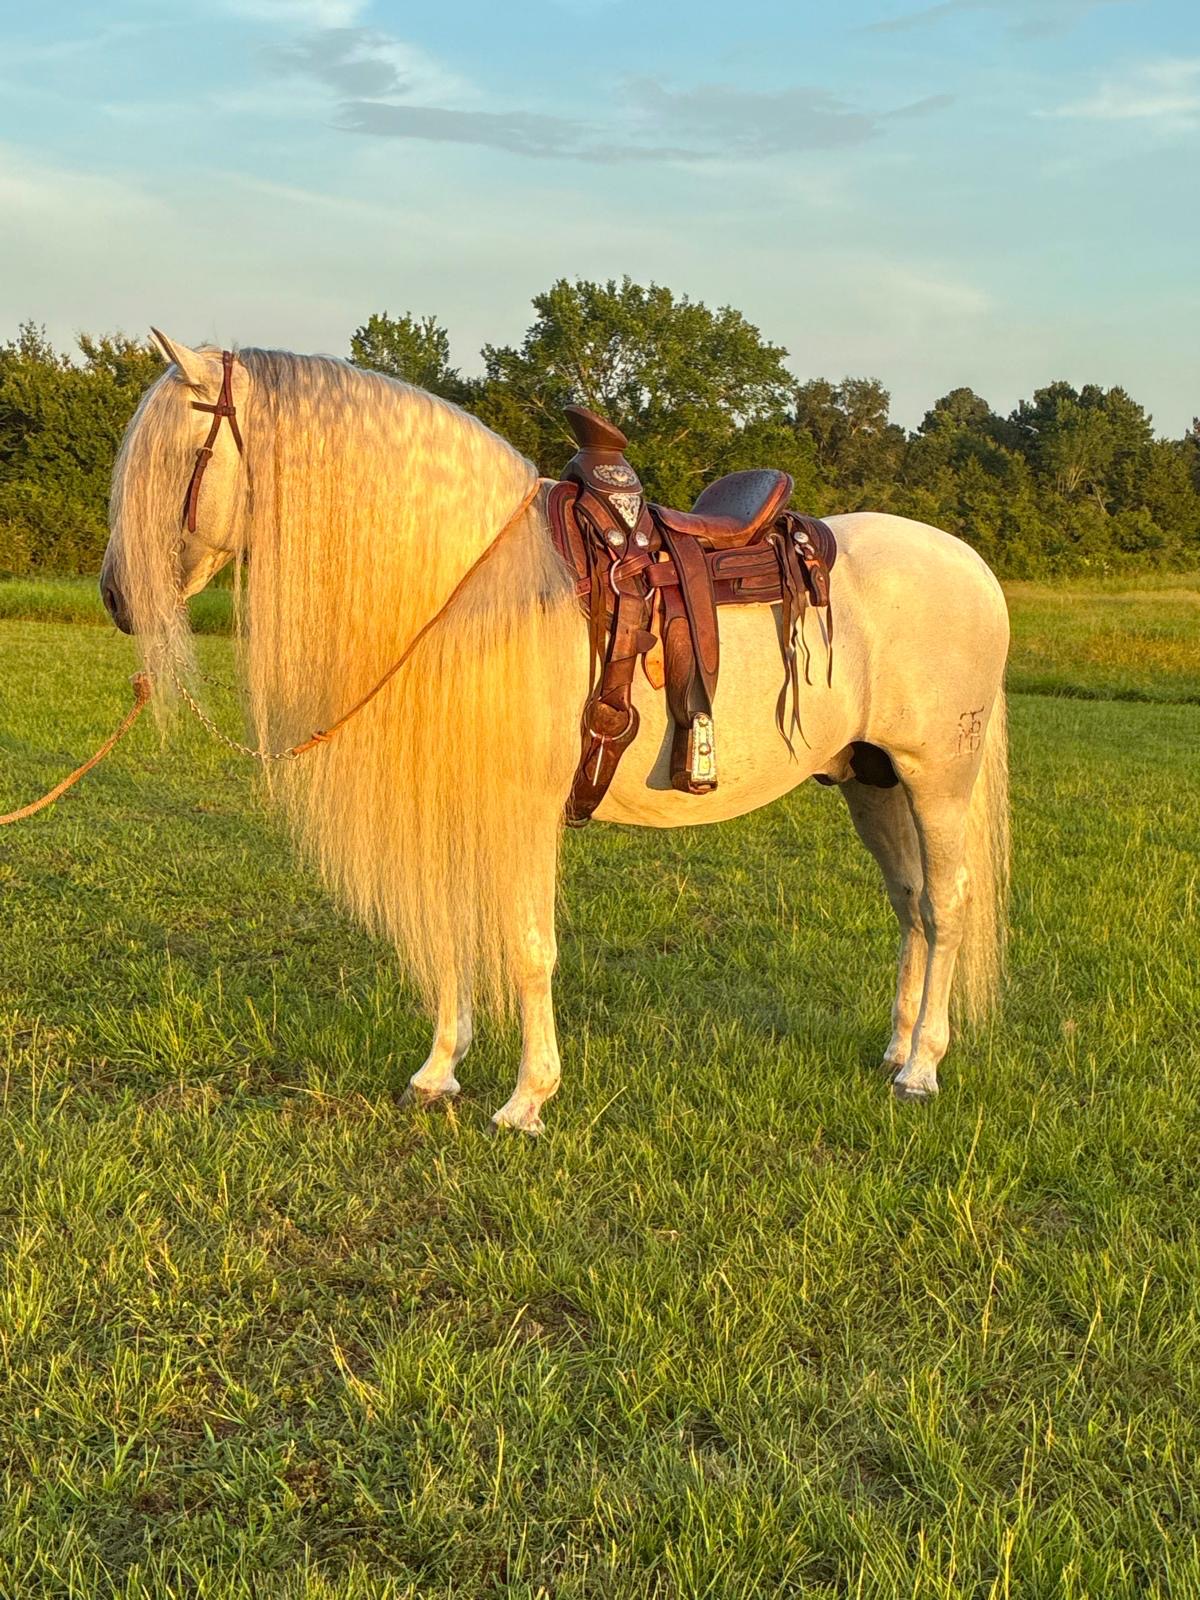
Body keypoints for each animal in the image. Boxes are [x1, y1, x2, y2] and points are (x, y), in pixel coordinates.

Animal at [100, 332, 1010, 1133]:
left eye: (178, 457)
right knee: (911, 904)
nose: (116, 597)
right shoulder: (461, 799)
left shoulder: (526, 811)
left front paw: (527, 1100)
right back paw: (894, 1049)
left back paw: (923, 1066)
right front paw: (437, 1073)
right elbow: (451, 938)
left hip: (938, 779)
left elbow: (529, 950)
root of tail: (969, 563)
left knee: (948, 904)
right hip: (871, 781)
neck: (473, 589)